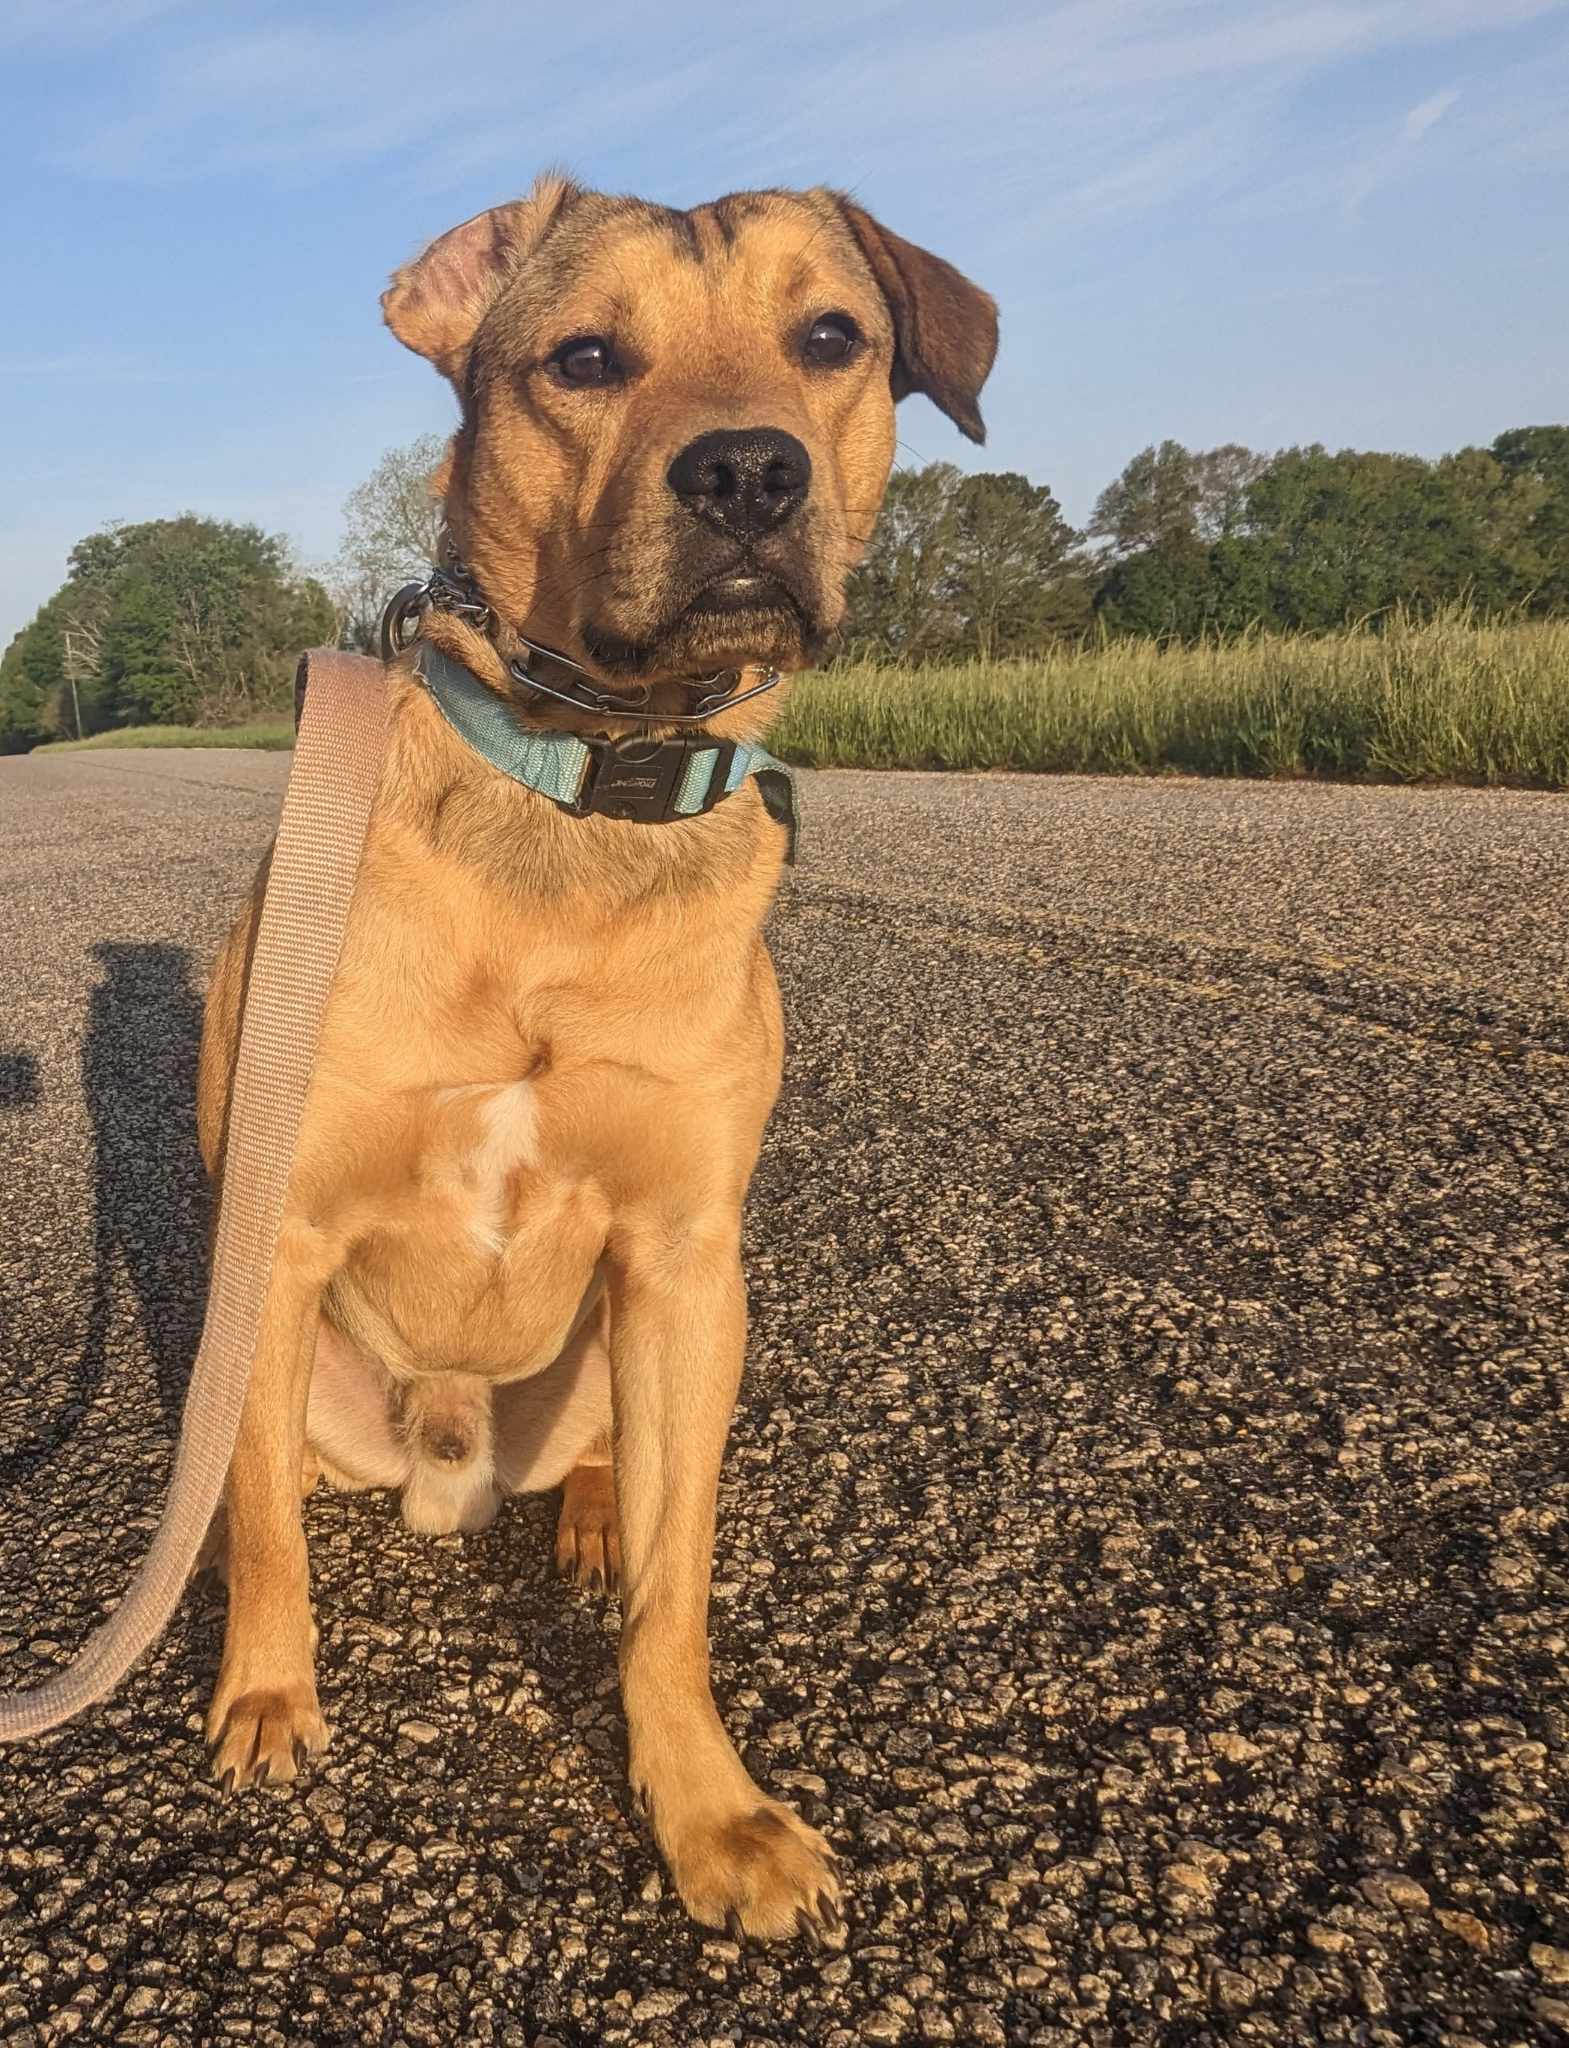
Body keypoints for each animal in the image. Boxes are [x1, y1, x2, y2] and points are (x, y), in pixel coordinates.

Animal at [190, 176, 991, 1933]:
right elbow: (270, 1527)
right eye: (584, 359)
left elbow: (678, 1597)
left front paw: (710, 1812)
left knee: (618, 1462)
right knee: (264, 1475)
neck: (585, 772)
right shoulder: (277, 1231)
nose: (750, 470)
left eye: (830, 336)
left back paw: (594, 1520)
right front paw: (267, 1696)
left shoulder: (687, 1251)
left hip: (636, 1340)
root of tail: (450, 1455)